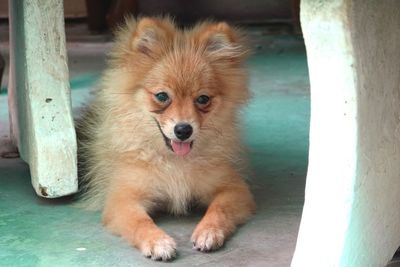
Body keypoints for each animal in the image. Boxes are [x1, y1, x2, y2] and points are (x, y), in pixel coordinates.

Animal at [76, 16, 255, 262]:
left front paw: (209, 231)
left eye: (203, 99)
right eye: (162, 96)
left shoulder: (233, 189)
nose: (183, 129)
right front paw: (157, 241)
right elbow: (140, 221)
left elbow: (219, 210)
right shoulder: (123, 199)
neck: (174, 161)